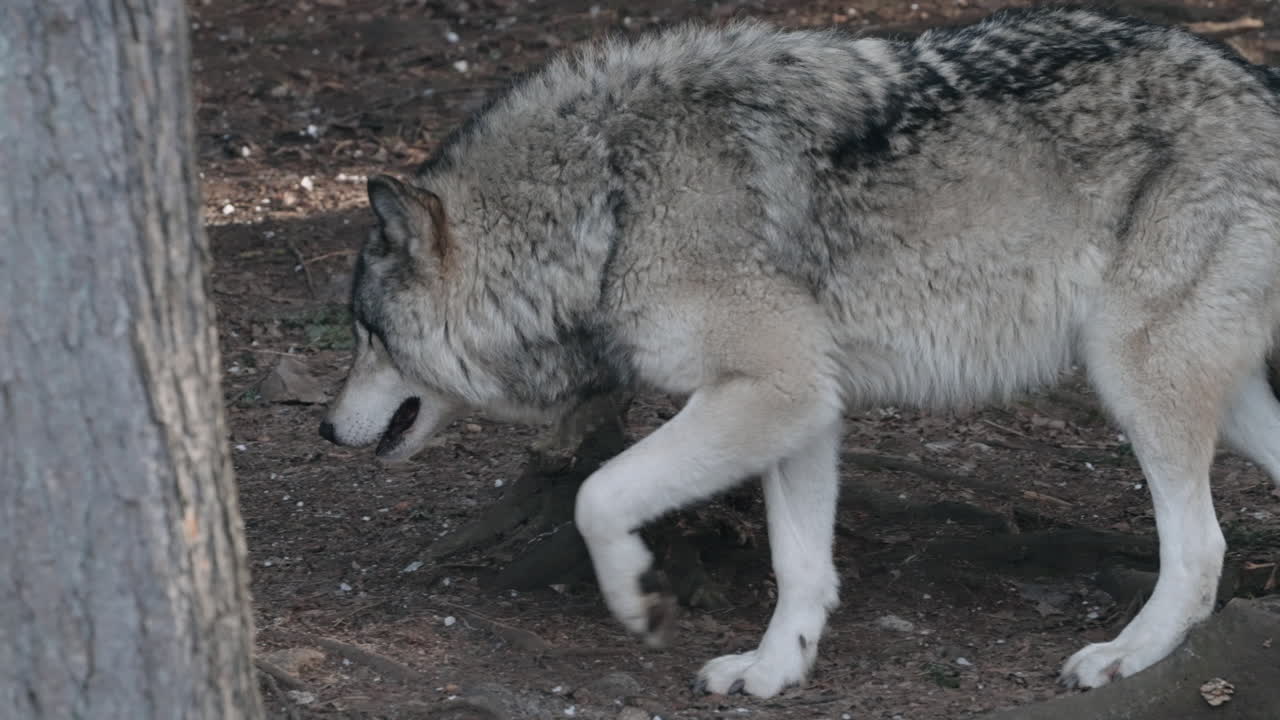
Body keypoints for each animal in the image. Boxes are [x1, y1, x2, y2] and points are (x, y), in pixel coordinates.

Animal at [318, 6, 1280, 696]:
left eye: (367, 333)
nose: (325, 430)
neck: (611, 199)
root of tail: (1259, 79)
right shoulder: (806, 406)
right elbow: (800, 564)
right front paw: (776, 669)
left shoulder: (773, 389)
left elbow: (598, 495)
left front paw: (637, 598)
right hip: (1220, 397)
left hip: (1133, 374)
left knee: (1201, 551)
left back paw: (1123, 657)